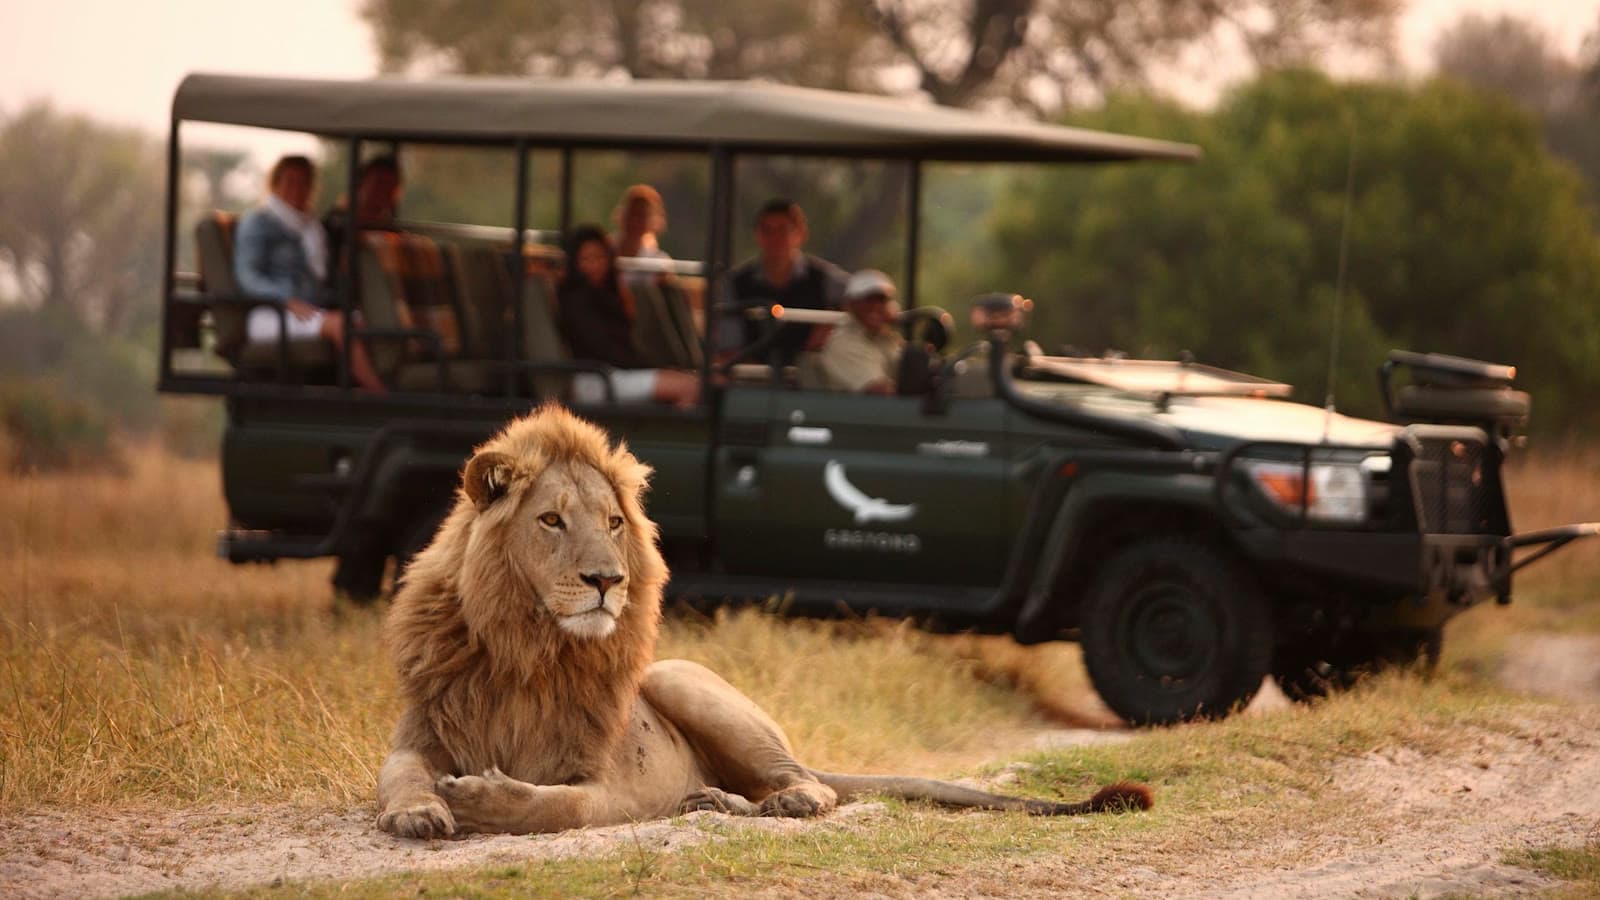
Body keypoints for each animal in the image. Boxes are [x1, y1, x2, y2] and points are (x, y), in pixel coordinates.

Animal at [376, 404, 1152, 839]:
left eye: (613, 523)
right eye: (550, 521)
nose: (608, 581)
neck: (529, 649)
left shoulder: (610, 787)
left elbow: (557, 807)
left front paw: (481, 800)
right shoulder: (420, 733)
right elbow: (400, 775)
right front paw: (418, 810)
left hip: (686, 681)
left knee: (813, 784)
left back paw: (766, 804)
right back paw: (713, 800)